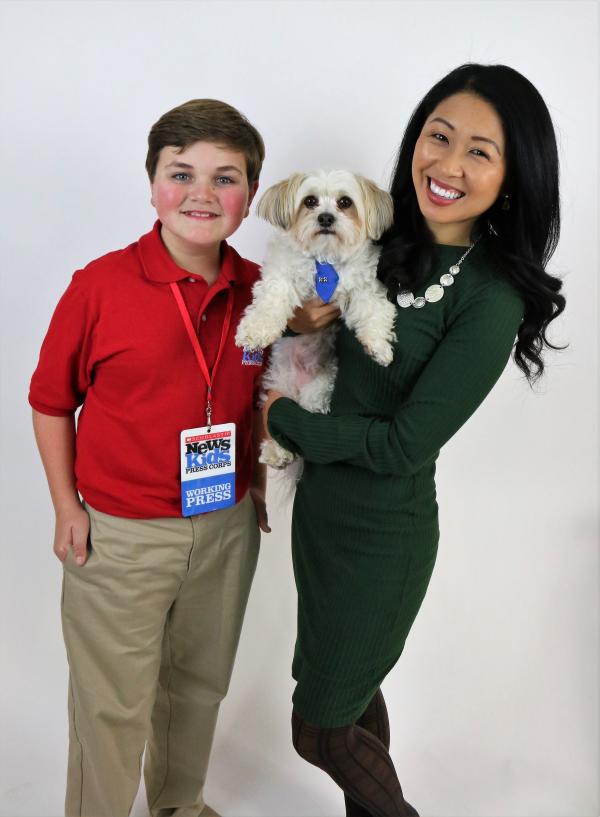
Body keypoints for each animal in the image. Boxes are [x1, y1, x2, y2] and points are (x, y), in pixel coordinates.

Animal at [236, 167, 398, 472]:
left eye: (345, 202)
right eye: (310, 201)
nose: (325, 217)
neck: (324, 259)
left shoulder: (363, 287)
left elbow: (374, 310)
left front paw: (378, 346)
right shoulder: (281, 275)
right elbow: (271, 301)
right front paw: (254, 331)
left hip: (318, 391)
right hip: (280, 386)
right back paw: (276, 453)